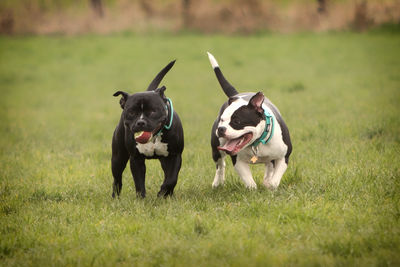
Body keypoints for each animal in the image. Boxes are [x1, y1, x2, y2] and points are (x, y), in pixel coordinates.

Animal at [111, 60, 183, 199]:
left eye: (153, 111)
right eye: (131, 112)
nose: (141, 122)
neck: (154, 137)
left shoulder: (175, 156)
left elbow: (171, 179)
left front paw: (162, 193)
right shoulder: (136, 159)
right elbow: (139, 182)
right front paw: (141, 199)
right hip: (118, 158)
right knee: (117, 179)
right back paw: (115, 197)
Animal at [208, 52, 292, 191]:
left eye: (237, 121)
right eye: (222, 119)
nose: (221, 129)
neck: (257, 142)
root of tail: (237, 95)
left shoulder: (283, 157)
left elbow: (275, 179)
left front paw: (270, 185)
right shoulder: (238, 161)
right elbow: (248, 180)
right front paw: (253, 189)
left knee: (269, 166)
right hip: (216, 149)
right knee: (220, 165)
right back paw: (217, 183)